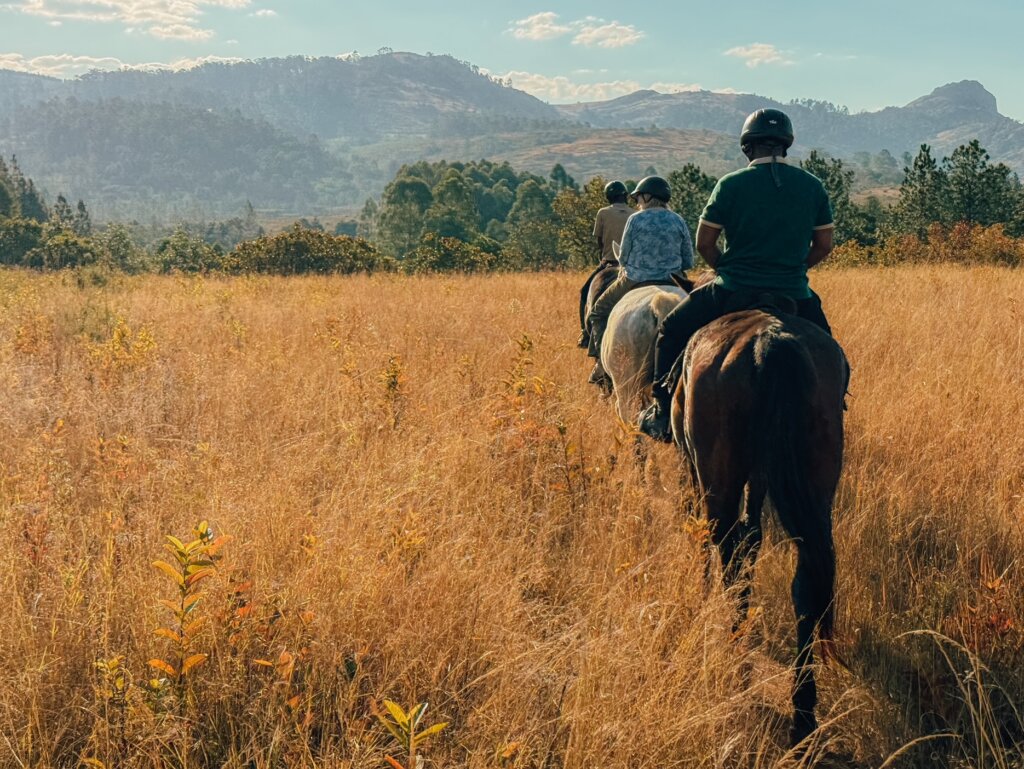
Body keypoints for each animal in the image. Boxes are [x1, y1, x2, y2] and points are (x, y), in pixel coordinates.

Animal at [671, 305, 847, 745]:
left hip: (719, 478)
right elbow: (753, 536)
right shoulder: (762, 475)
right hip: (816, 481)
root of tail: (770, 340)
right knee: (807, 582)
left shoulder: (696, 470)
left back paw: (737, 652)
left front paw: (700, 591)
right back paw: (802, 712)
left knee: (727, 551)